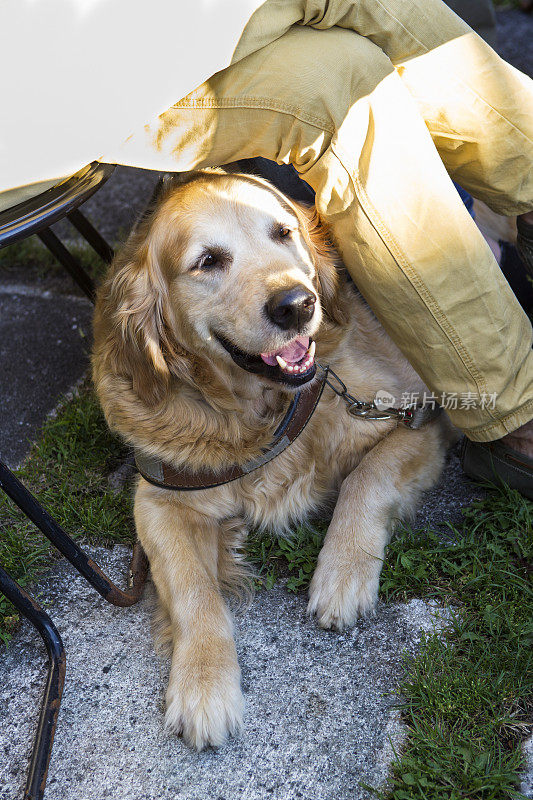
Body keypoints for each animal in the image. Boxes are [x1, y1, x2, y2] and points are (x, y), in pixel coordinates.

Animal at [93, 167, 450, 752]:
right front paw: (204, 685)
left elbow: (367, 479)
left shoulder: (418, 421)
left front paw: (342, 575)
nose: (296, 304)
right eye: (208, 260)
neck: (262, 415)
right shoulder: (159, 499)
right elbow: (194, 591)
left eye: (283, 233)